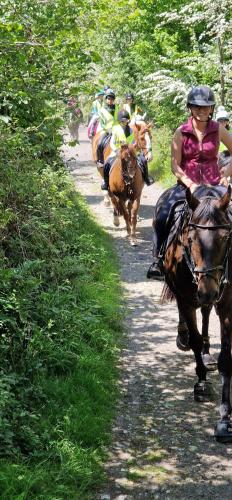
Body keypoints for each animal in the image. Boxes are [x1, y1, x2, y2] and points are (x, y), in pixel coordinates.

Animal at [159, 184, 232, 442]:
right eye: (190, 239)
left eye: (226, 239)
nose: (208, 291)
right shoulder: (185, 299)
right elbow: (194, 340)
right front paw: (201, 383)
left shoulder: (227, 305)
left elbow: (226, 360)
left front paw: (224, 419)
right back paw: (183, 337)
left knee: (207, 312)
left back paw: (208, 351)